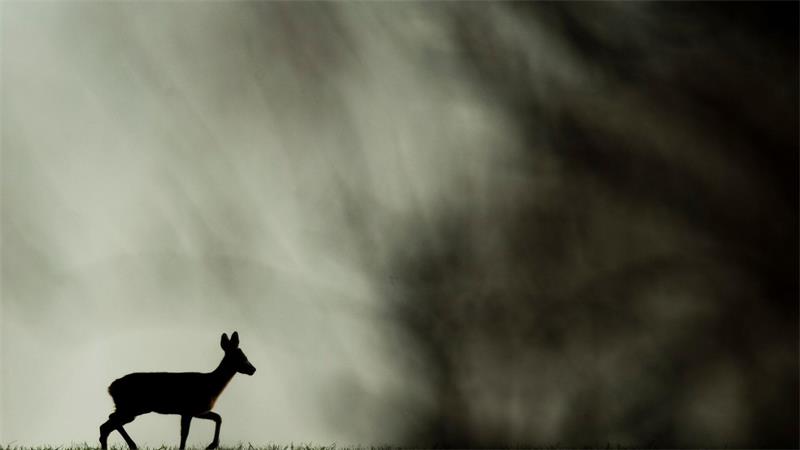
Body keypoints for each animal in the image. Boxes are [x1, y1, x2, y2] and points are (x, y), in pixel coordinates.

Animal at [99, 331, 256, 450]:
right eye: (241, 357)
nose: (253, 369)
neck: (211, 385)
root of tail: (110, 388)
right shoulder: (188, 409)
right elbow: (185, 434)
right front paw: (209, 445)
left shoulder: (197, 410)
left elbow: (218, 417)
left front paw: (212, 445)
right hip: (131, 407)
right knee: (110, 420)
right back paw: (133, 445)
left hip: (129, 408)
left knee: (105, 426)